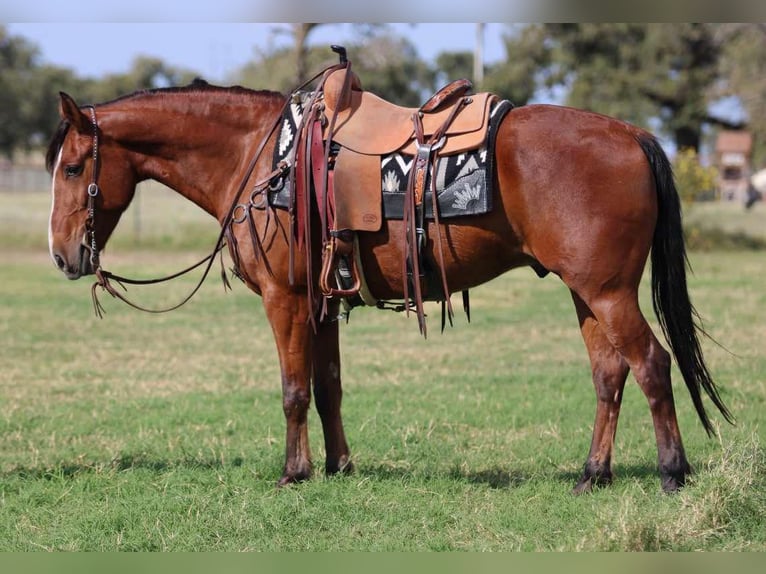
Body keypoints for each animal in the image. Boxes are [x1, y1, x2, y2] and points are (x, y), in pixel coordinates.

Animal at [45, 72, 736, 496]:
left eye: (74, 167)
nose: (61, 255)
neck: (264, 158)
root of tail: (634, 134)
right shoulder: (321, 303)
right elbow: (327, 387)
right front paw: (338, 465)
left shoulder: (286, 299)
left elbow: (293, 389)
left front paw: (294, 473)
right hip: (585, 292)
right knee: (609, 374)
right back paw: (593, 473)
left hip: (609, 292)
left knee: (651, 364)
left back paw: (673, 472)